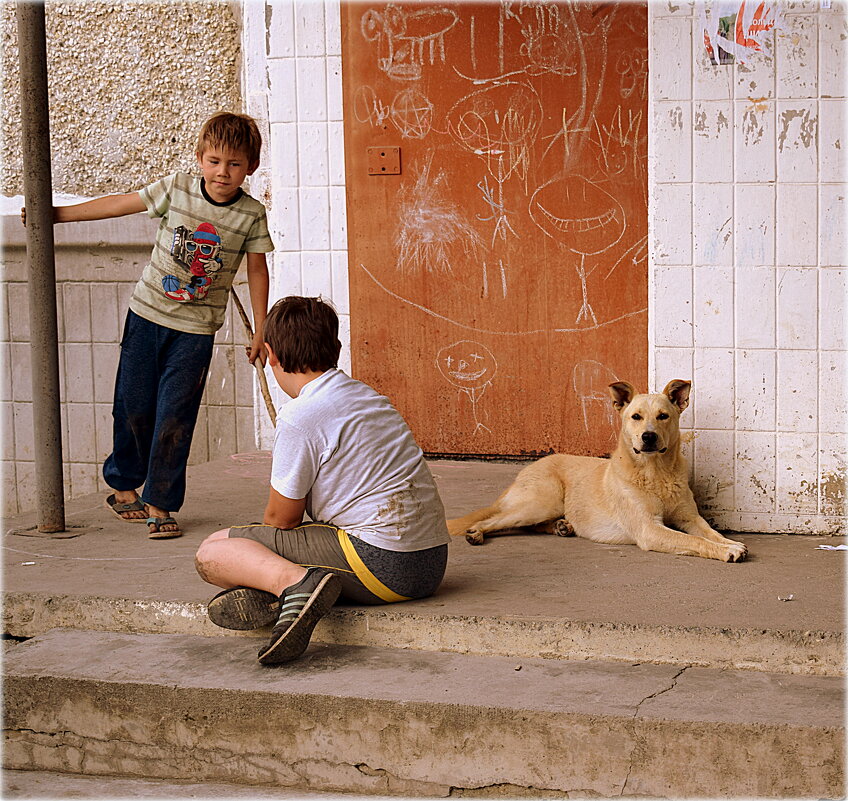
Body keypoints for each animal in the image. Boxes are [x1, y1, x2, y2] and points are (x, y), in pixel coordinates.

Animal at [448, 382, 744, 564]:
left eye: (663, 416)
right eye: (636, 417)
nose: (648, 437)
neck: (656, 474)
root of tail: (528, 468)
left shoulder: (690, 517)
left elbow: (708, 534)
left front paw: (728, 542)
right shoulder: (649, 529)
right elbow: (694, 540)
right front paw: (727, 550)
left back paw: (563, 526)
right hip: (542, 501)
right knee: (496, 519)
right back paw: (476, 532)